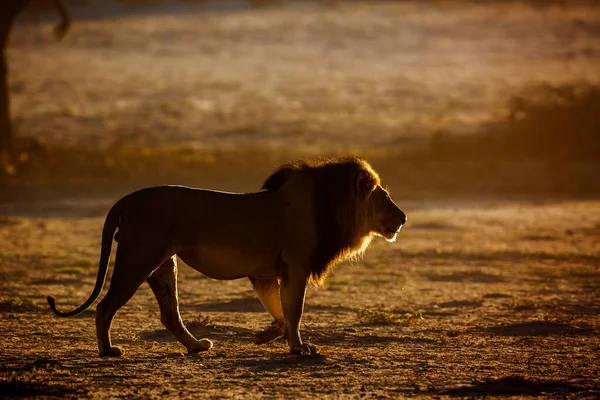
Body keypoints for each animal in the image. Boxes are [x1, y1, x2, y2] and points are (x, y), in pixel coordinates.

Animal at [44, 156, 406, 356]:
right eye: (385, 197)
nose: (403, 218)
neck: (331, 207)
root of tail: (127, 199)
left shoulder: (265, 273)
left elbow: (280, 312)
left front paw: (266, 336)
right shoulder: (296, 266)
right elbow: (295, 311)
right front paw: (298, 348)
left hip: (163, 264)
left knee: (170, 314)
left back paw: (196, 347)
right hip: (138, 257)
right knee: (105, 306)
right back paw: (108, 351)